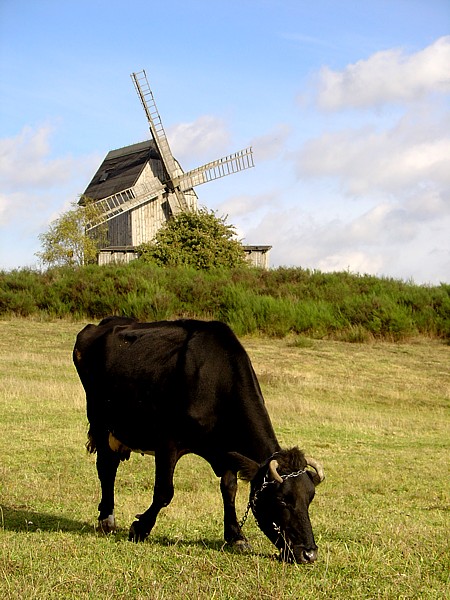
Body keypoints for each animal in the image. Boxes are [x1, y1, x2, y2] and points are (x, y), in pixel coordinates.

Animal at [73, 316, 324, 564]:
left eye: (310, 498)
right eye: (282, 500)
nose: (309, 553)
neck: (215, 380)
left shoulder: (227, 450)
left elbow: (229, 489)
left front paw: (236, 536)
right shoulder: (168, 443)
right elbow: (164, 492)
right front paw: (140, 528)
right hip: (100, 422)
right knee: (106, 468)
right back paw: (107, 518)